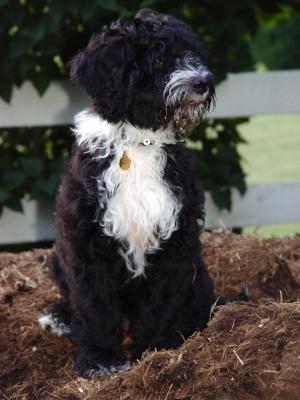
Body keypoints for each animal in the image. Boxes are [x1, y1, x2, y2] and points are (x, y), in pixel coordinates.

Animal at [40, 9, 218, 378]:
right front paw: (101, 359)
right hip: (58, 256)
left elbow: (159, 304)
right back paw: (60, 317)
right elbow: (94, 305)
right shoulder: (86, 243)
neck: (139, 143)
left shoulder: (175, 243)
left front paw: (154, 351)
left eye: (191, 53)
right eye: (158, 58)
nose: (203, 82)